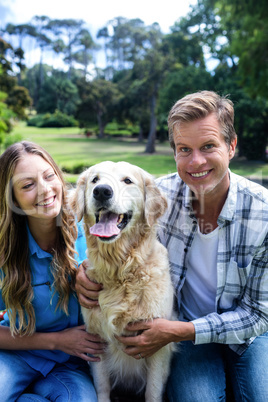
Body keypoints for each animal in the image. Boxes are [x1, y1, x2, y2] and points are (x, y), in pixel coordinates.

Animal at [69, 161, 174, 402]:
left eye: (127, 180)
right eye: (95, 180)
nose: (102, 191)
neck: (120, 271)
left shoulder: (157, 344)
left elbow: (153, 391)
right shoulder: (96, 339)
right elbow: (102, 387)